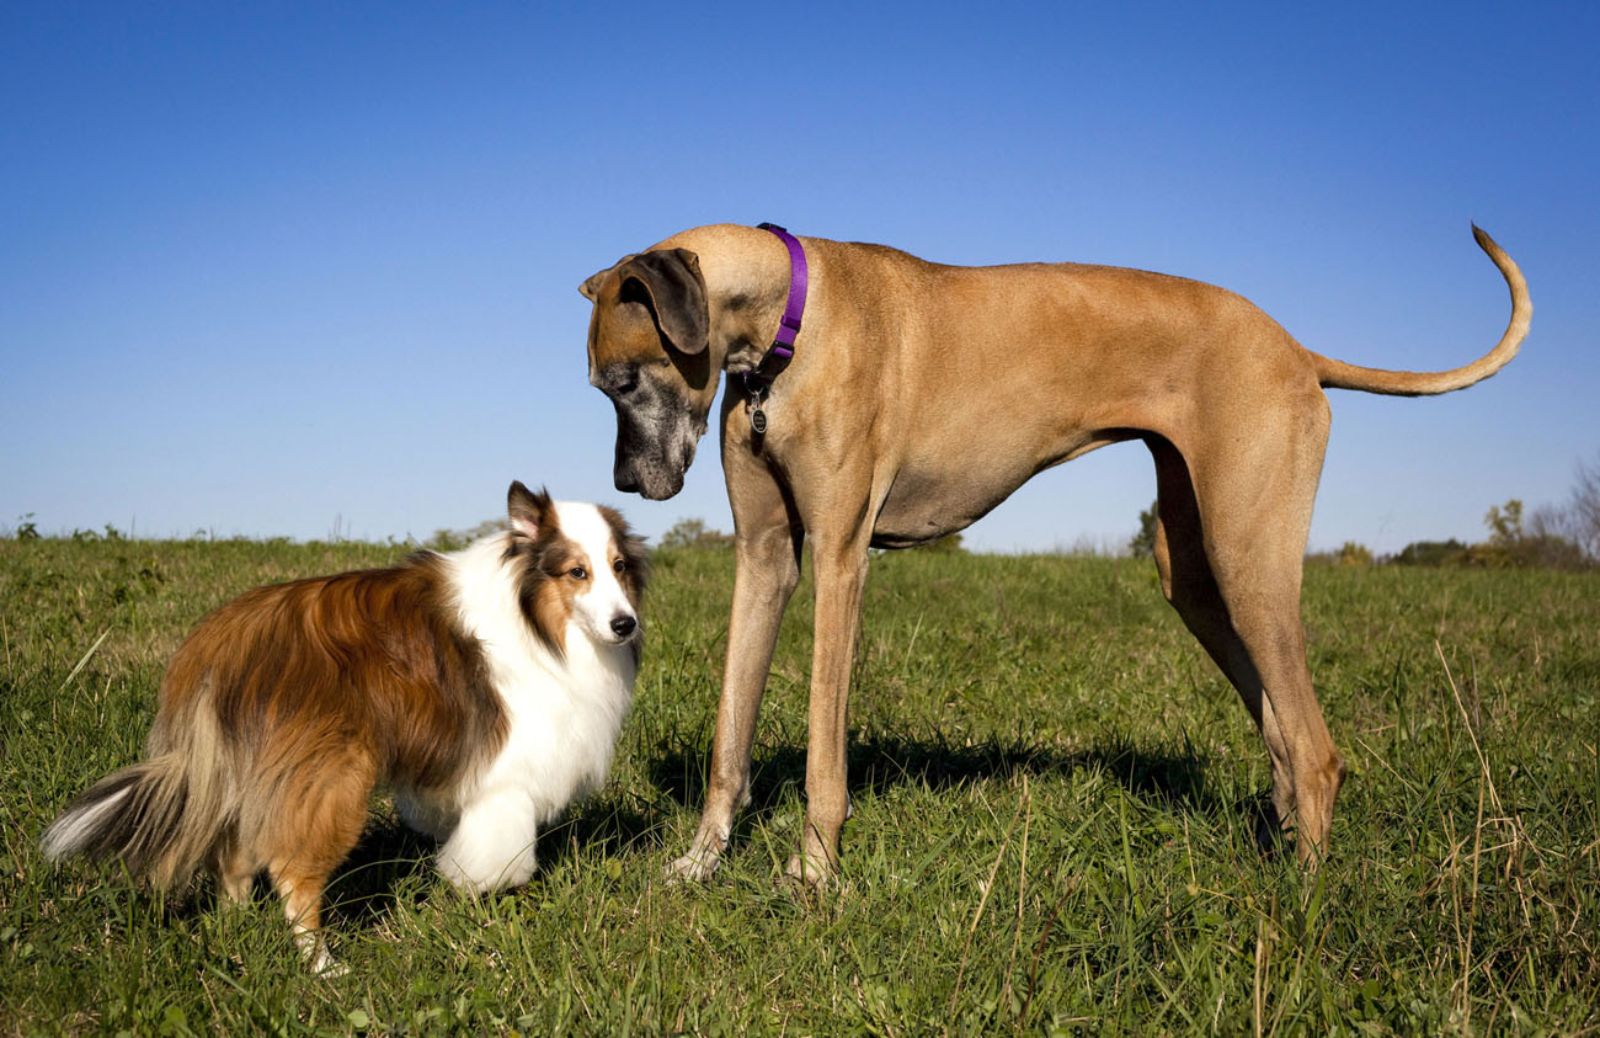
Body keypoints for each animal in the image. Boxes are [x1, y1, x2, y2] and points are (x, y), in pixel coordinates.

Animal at [43, 483, 643, 966]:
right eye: (577, 571)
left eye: (619, 566)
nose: (626, 625)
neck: (533, 615)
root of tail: (220, 644)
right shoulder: (506, 774)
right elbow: (495, 858)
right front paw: (481, 898)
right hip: (333, 775)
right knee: (291, 872)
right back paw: (322, 965)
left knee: (235, 857)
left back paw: (237, 933)